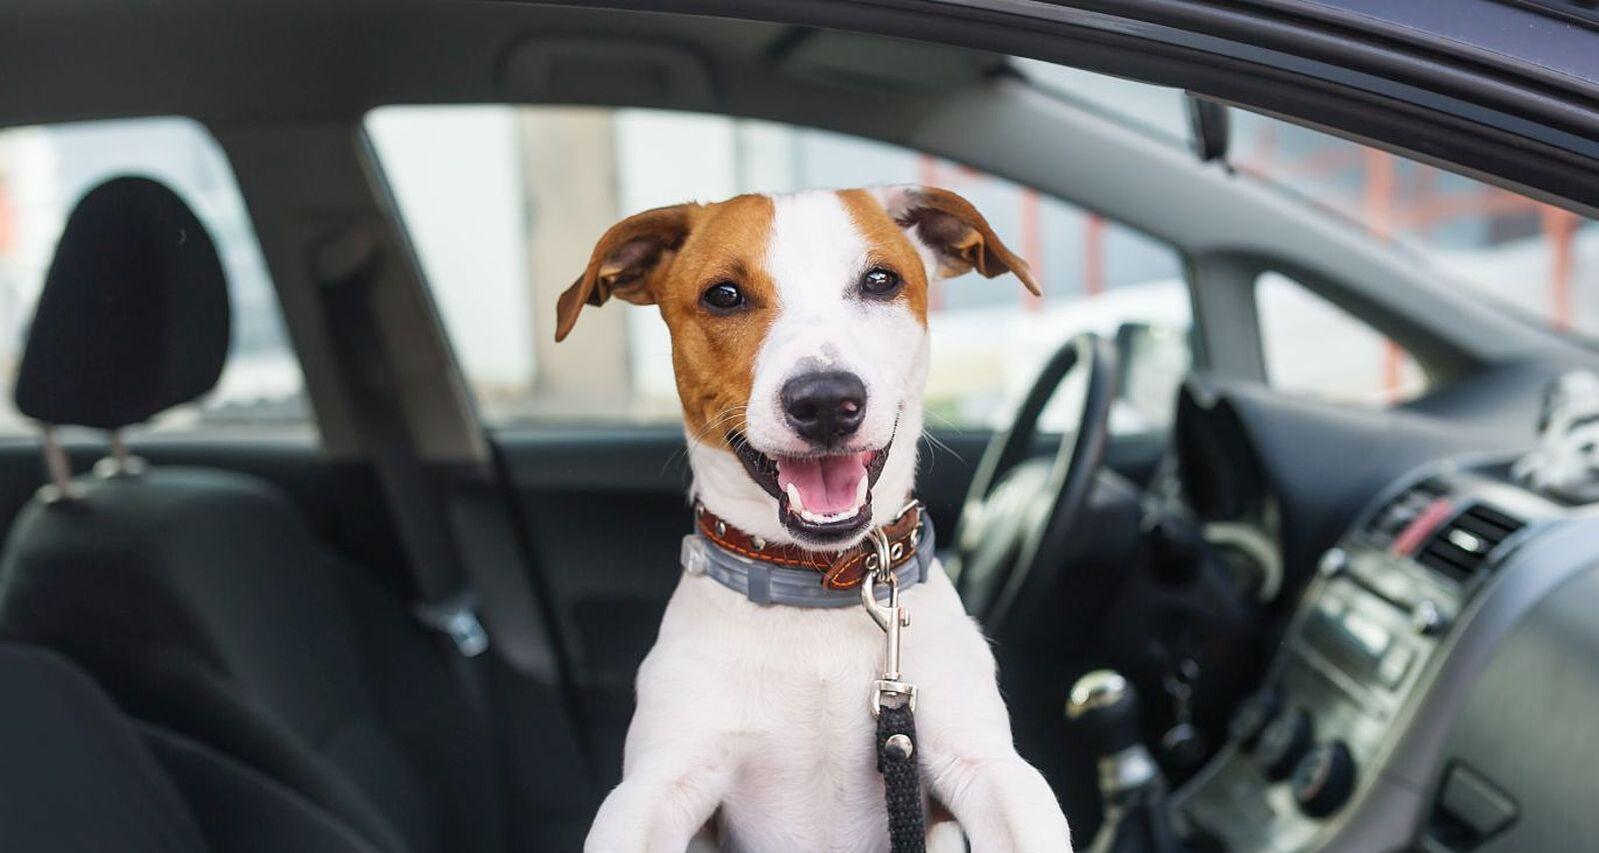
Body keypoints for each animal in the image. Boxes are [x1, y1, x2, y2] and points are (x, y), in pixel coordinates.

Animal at [556, 186, 1068, 851]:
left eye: (880, 280)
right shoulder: (652, 790)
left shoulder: (990, 768)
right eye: (724, 295)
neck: (814, 586)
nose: (825, 401)